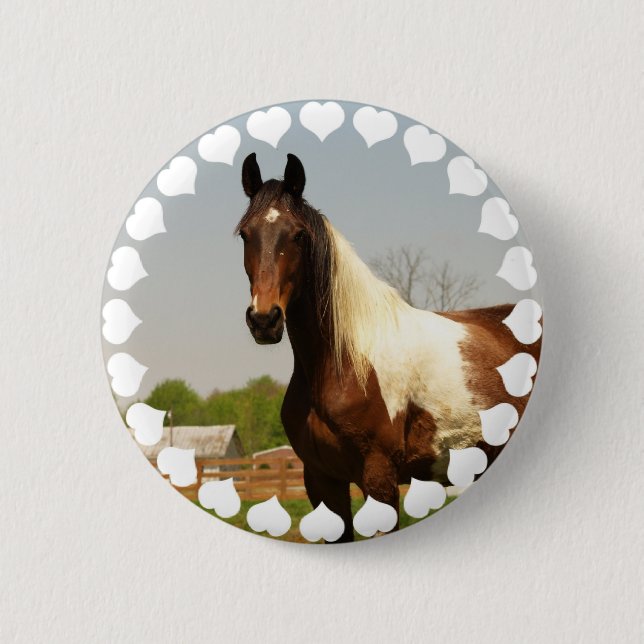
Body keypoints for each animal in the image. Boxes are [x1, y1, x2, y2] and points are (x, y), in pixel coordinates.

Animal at [235, 152, 541, 542]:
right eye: (246, 234)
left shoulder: (379, 478)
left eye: (299, 234)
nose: (264, 319)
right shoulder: (322, 482)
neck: (345, 362)